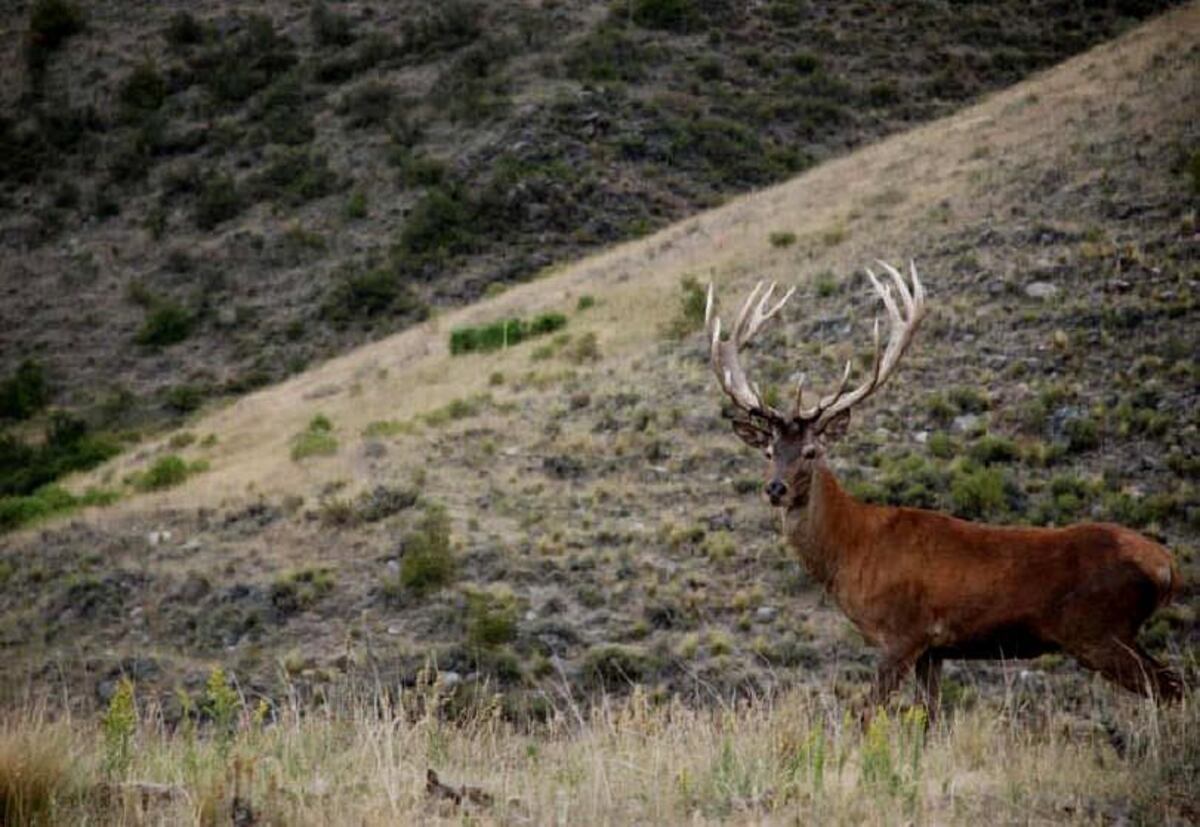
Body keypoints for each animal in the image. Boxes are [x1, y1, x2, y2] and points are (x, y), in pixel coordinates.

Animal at [705, 261, 1183, 719]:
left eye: (811, 451)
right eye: (769, 450)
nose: (776, 488)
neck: (851, 552)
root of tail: (1167, 567)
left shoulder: (902, 633)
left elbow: (866, 715)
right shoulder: (933, 650)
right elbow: (928, 719)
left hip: (1100, 632)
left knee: (1171, 688)